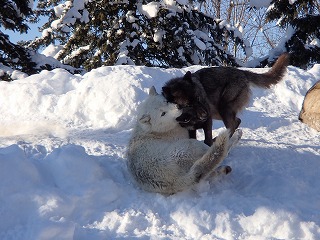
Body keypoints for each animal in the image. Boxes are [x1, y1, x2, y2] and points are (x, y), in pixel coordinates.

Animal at [162, 53, 290, 145]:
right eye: (188, 104)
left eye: (198, 98)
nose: (205, 114)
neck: (188, 117)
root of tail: (242, 72)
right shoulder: (191, 129)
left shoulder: (208, 122)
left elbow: (207, 140)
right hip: (218, 112)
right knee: (237, 121)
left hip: (222, 109)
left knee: (232, 125)